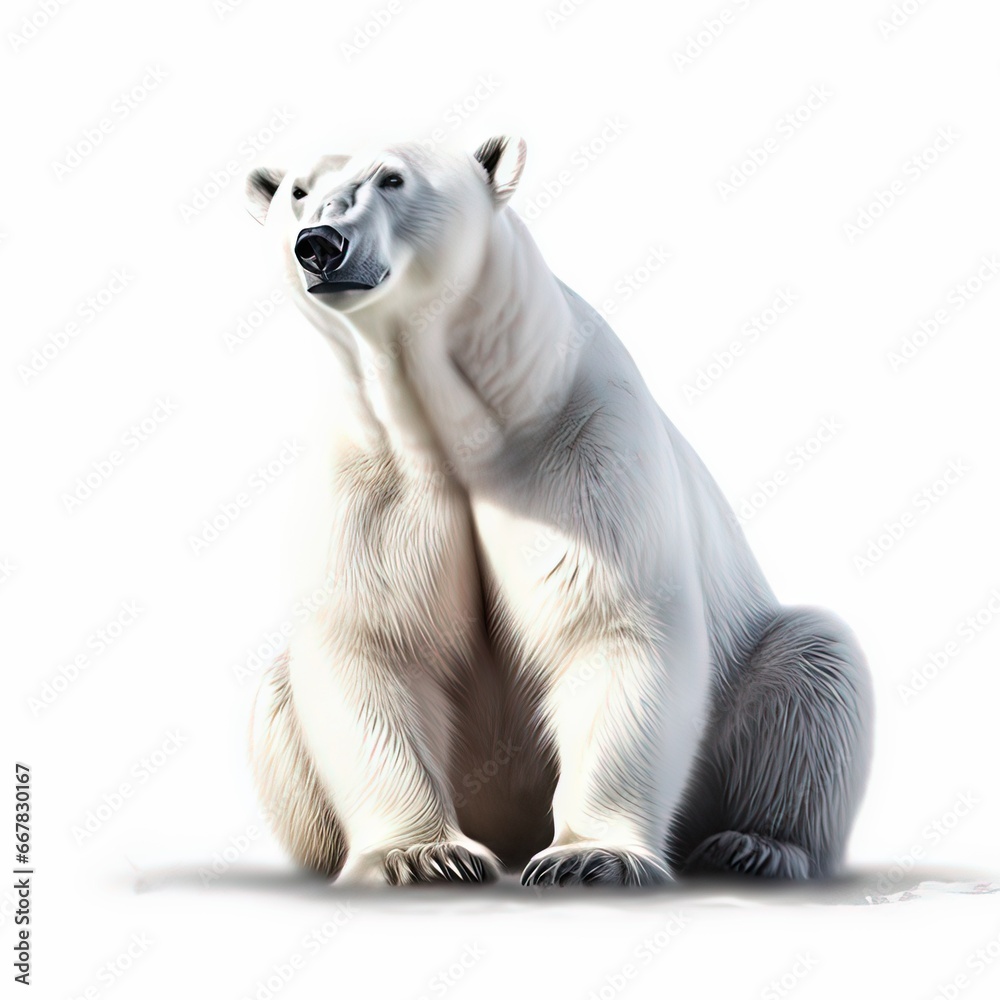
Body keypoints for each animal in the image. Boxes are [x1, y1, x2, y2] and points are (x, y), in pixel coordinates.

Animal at [243, 135, 873, 887]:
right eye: (298, 192)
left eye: (392, 179)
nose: (319, 245)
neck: (472, 420)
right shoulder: (377, 474)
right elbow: (375, 640)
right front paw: (421, 855)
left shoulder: (581, 449)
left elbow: (610, 627)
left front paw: (590, 855)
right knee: (278, 695)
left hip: (759, 669)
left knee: (814, 667)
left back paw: (755, 845)